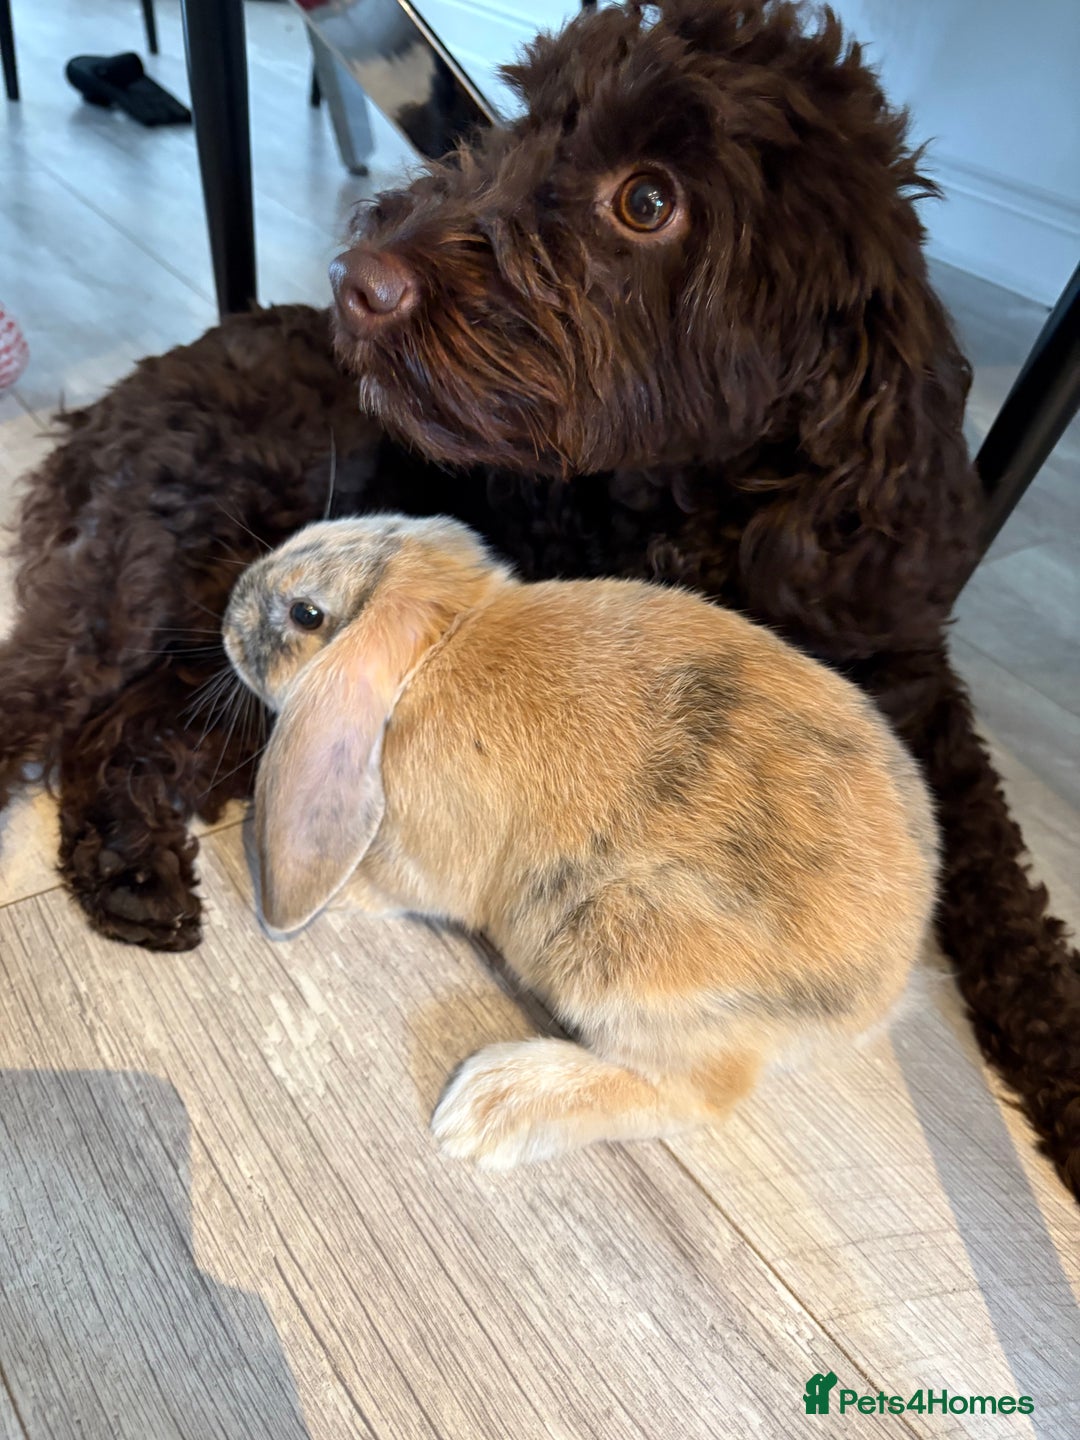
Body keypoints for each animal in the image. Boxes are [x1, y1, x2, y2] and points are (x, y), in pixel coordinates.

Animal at [223, 514, 940, 1170]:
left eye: (307, 613)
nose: (229, 617)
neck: (440, 647)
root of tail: (879, 997)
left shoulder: (424, 853)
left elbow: (395, 885)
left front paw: (338, 894)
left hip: (623, 955)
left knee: (696, 1095)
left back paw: (486, 1107)